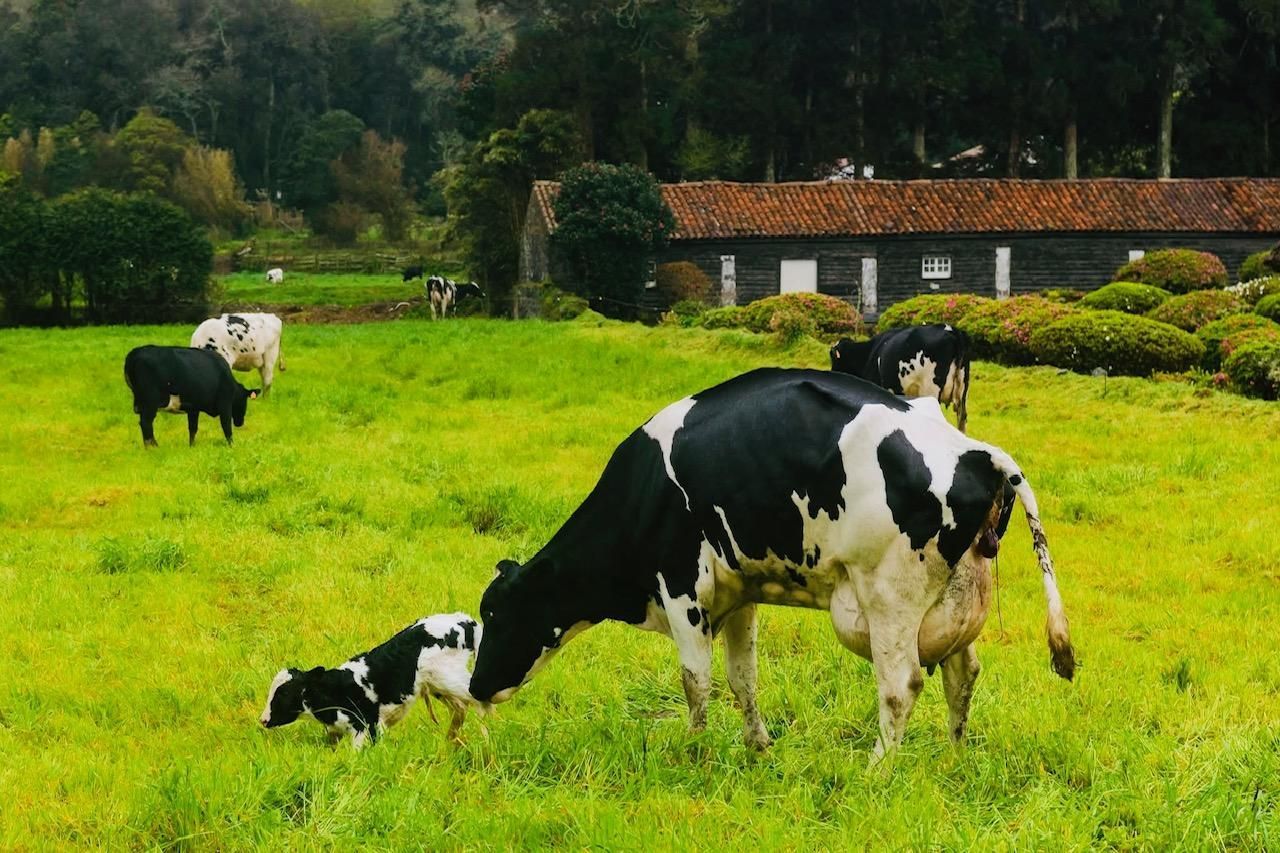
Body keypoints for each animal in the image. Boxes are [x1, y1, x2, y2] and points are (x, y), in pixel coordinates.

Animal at [123, 345, 259, 447]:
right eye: (244, 400)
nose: (240, 423)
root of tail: (136, 352)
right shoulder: (224, 404)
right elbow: (226, 426)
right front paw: (231, 445)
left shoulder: (194, 408)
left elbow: (193, 428)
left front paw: (192, 446)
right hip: (150, 402)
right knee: (146, 423)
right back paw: (153, 447)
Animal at [260, 613, 492, 749]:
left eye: (284, 693)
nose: (263, 720)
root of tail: (464, 620)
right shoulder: (337, 732)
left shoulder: (366, 727)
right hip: (438, 685)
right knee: (460, 708)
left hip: (449, 677)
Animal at [470, 368, 1074, 761]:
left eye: (496, 616)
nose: (475, 687)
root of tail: (976, 451)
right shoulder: (739, 590)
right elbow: (743, 679)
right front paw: (757, 746)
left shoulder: (682, 587)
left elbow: (695, 680)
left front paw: (693, 753)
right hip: (954, 601)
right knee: (961, 673)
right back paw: (953, 755)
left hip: (889, 595)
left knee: (901, 683)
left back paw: (879, 768)